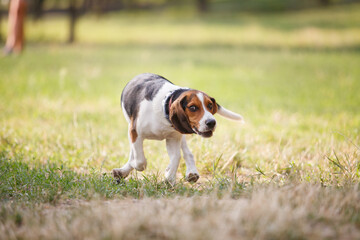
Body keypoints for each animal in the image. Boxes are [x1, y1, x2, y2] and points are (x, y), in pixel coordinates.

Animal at [112, 73, 242, 184]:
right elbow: (140, 161)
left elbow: (176, 157)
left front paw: (169, 178)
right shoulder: (135, 132)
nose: (212, 122)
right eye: (193, 107)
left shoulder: (173, 138)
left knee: (187, 153)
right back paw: (123, 170)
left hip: (180, 134)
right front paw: (132, 165)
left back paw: (191, 172)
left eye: (210, 105)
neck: (164, 105)